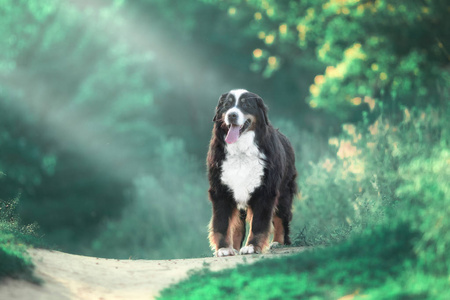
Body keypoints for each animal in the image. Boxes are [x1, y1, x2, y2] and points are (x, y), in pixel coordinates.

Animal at [207, 89, 298, 258]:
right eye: (227, 105)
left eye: (246, 105)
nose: (232, 115)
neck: (241, 151)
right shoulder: (221, 190)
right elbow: (222, 223)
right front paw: (224, 249)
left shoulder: (265, 191)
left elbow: (259, 223)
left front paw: (252, 246)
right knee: (238, 226)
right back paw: (235, 248)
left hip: (284, 193)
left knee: (281, 219)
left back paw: (278, 242)